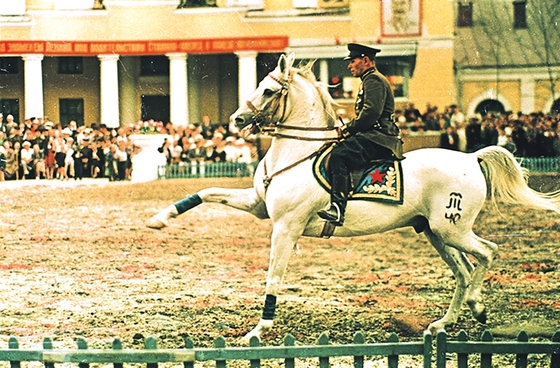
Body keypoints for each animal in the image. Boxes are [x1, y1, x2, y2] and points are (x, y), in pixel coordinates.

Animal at [148, 53, 560, 344]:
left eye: (267, 90)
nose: (236, 120)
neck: (295, 154)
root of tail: (471, 157)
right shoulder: (258, 205)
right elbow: (205, 193)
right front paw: (160, 218)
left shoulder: (285, 228)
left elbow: (273, 278)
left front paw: (258, 330)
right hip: (436, 233)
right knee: (462, 270)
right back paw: (446, 321)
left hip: (452, 229)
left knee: (487, 253)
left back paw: (476, 304)